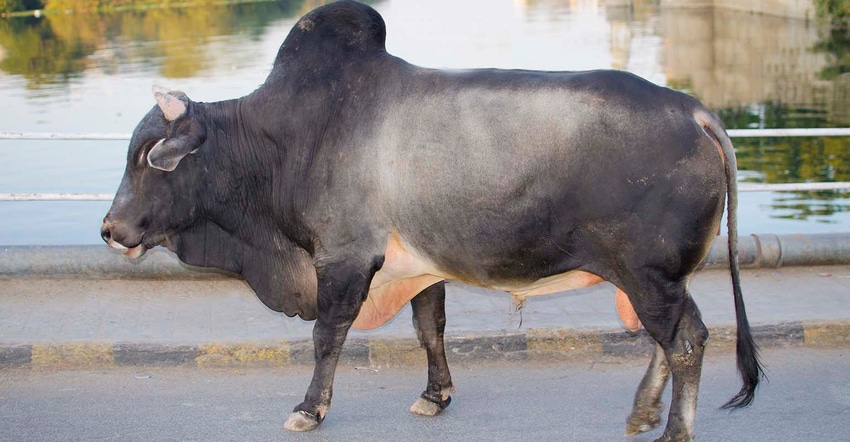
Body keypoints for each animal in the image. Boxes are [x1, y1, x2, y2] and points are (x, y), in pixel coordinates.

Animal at [99, 1, 760, 440]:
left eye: (148, 158)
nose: (110, 230)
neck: (284, 140)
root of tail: (695, 111)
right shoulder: (419, 264)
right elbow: (430, 329)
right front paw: (434, 395)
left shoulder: (343, 258)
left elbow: (327, 336)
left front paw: (310, 408)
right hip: (660, 277)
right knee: (670, 340)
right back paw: (644, 412)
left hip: (648, 274)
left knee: (687, 340)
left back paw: (674, 429)